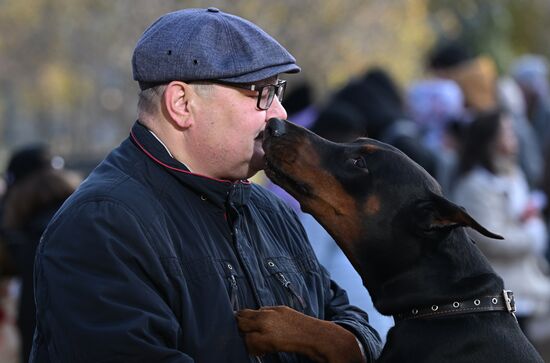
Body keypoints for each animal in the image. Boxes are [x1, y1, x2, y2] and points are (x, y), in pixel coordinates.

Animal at [236, 118, 544, 362]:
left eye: (358, 162)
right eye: (354, 143)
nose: (274, 124)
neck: (451, 305)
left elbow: (338, 336)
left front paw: (274, 323)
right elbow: (345, 339)